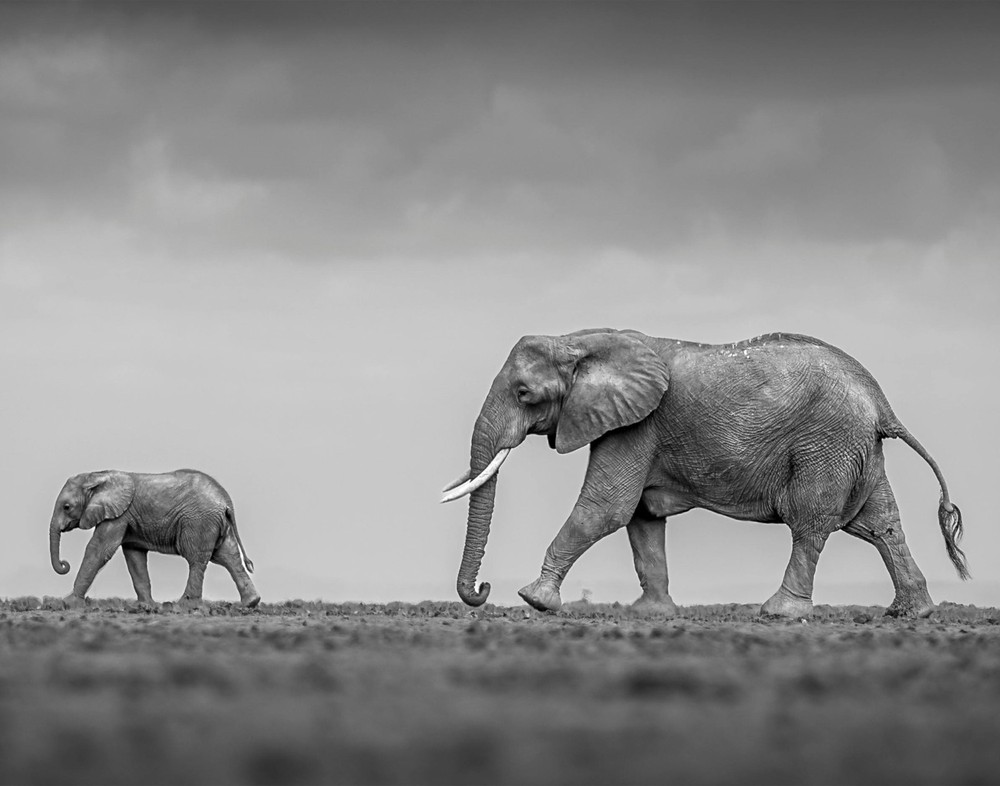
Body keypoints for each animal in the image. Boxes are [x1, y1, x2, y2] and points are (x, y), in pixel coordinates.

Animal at [49, 469, 260, 607]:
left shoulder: (119, 514)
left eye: (66, 507)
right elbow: (134, 556)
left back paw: (182, 605)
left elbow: (99, 549)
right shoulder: (127, 518)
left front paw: (68, 603)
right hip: (216, 524)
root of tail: (226, 502)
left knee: (197, 559)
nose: (65, 564)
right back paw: (250, 603)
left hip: (199, 522)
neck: (97, 476)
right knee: (229, 556)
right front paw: (147, 606)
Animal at [441, 329, 967, 618]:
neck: (582, 340)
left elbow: (605, 509)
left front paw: (534, 599)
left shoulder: (636, 426)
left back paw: (780, 613)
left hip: (828, 443)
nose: (483, 590)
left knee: (811, 523)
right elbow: (642, 519)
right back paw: (911, 612)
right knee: (880, 524)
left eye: (524, 394)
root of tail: (881, 402)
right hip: (857, 448)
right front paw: (651, 614)